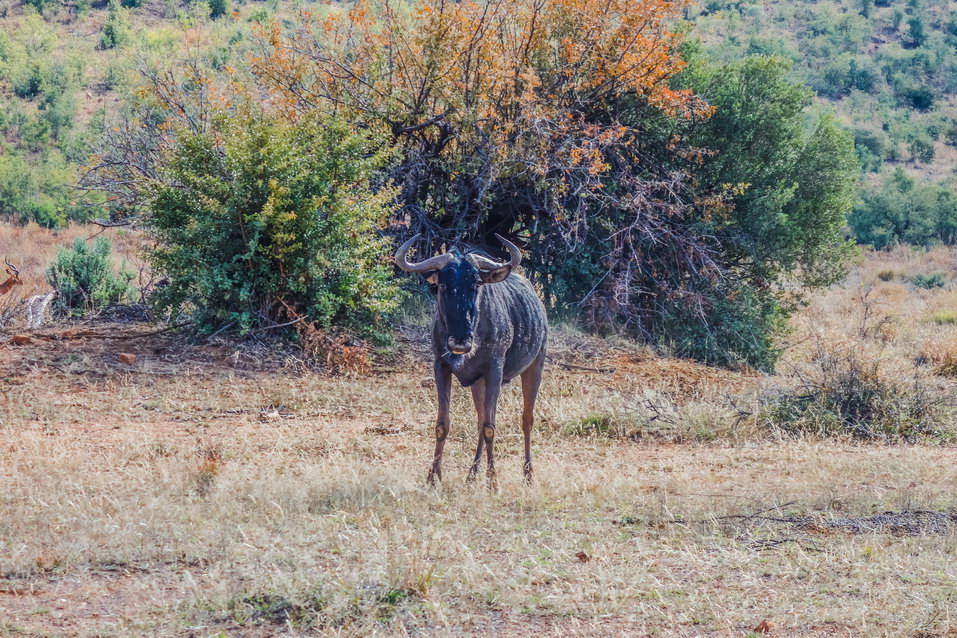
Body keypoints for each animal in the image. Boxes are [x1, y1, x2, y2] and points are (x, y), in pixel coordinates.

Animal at [394, 235, 544, 484]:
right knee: (480, 419)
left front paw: (493, 481)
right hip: (478, 384)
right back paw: (472, 475)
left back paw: (528, 475)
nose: (460, 342)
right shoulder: (441, 366)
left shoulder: (495, 370)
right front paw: (433, 478)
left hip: (535, 367)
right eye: (443, 284)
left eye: (475, 283)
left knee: (527, 419)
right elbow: (443, 424)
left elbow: (490, 427)